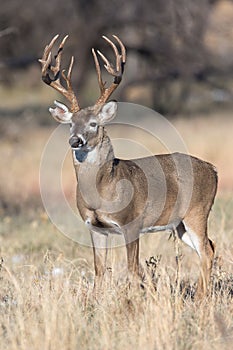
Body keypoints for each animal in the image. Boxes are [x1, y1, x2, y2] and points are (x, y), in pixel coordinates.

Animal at [39, 34, 218, 296]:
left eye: (93, 123)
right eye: (70, 124)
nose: (75, 140)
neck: (103, 190)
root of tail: (213, 169)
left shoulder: (131, 222)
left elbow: (133, 270)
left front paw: (135, 301)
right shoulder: (94, 227)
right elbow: (99, 272)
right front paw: (96, 301)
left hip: (197, 211)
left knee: (206, 251)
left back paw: (200, 299)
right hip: (179, 225)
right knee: (210, 247)